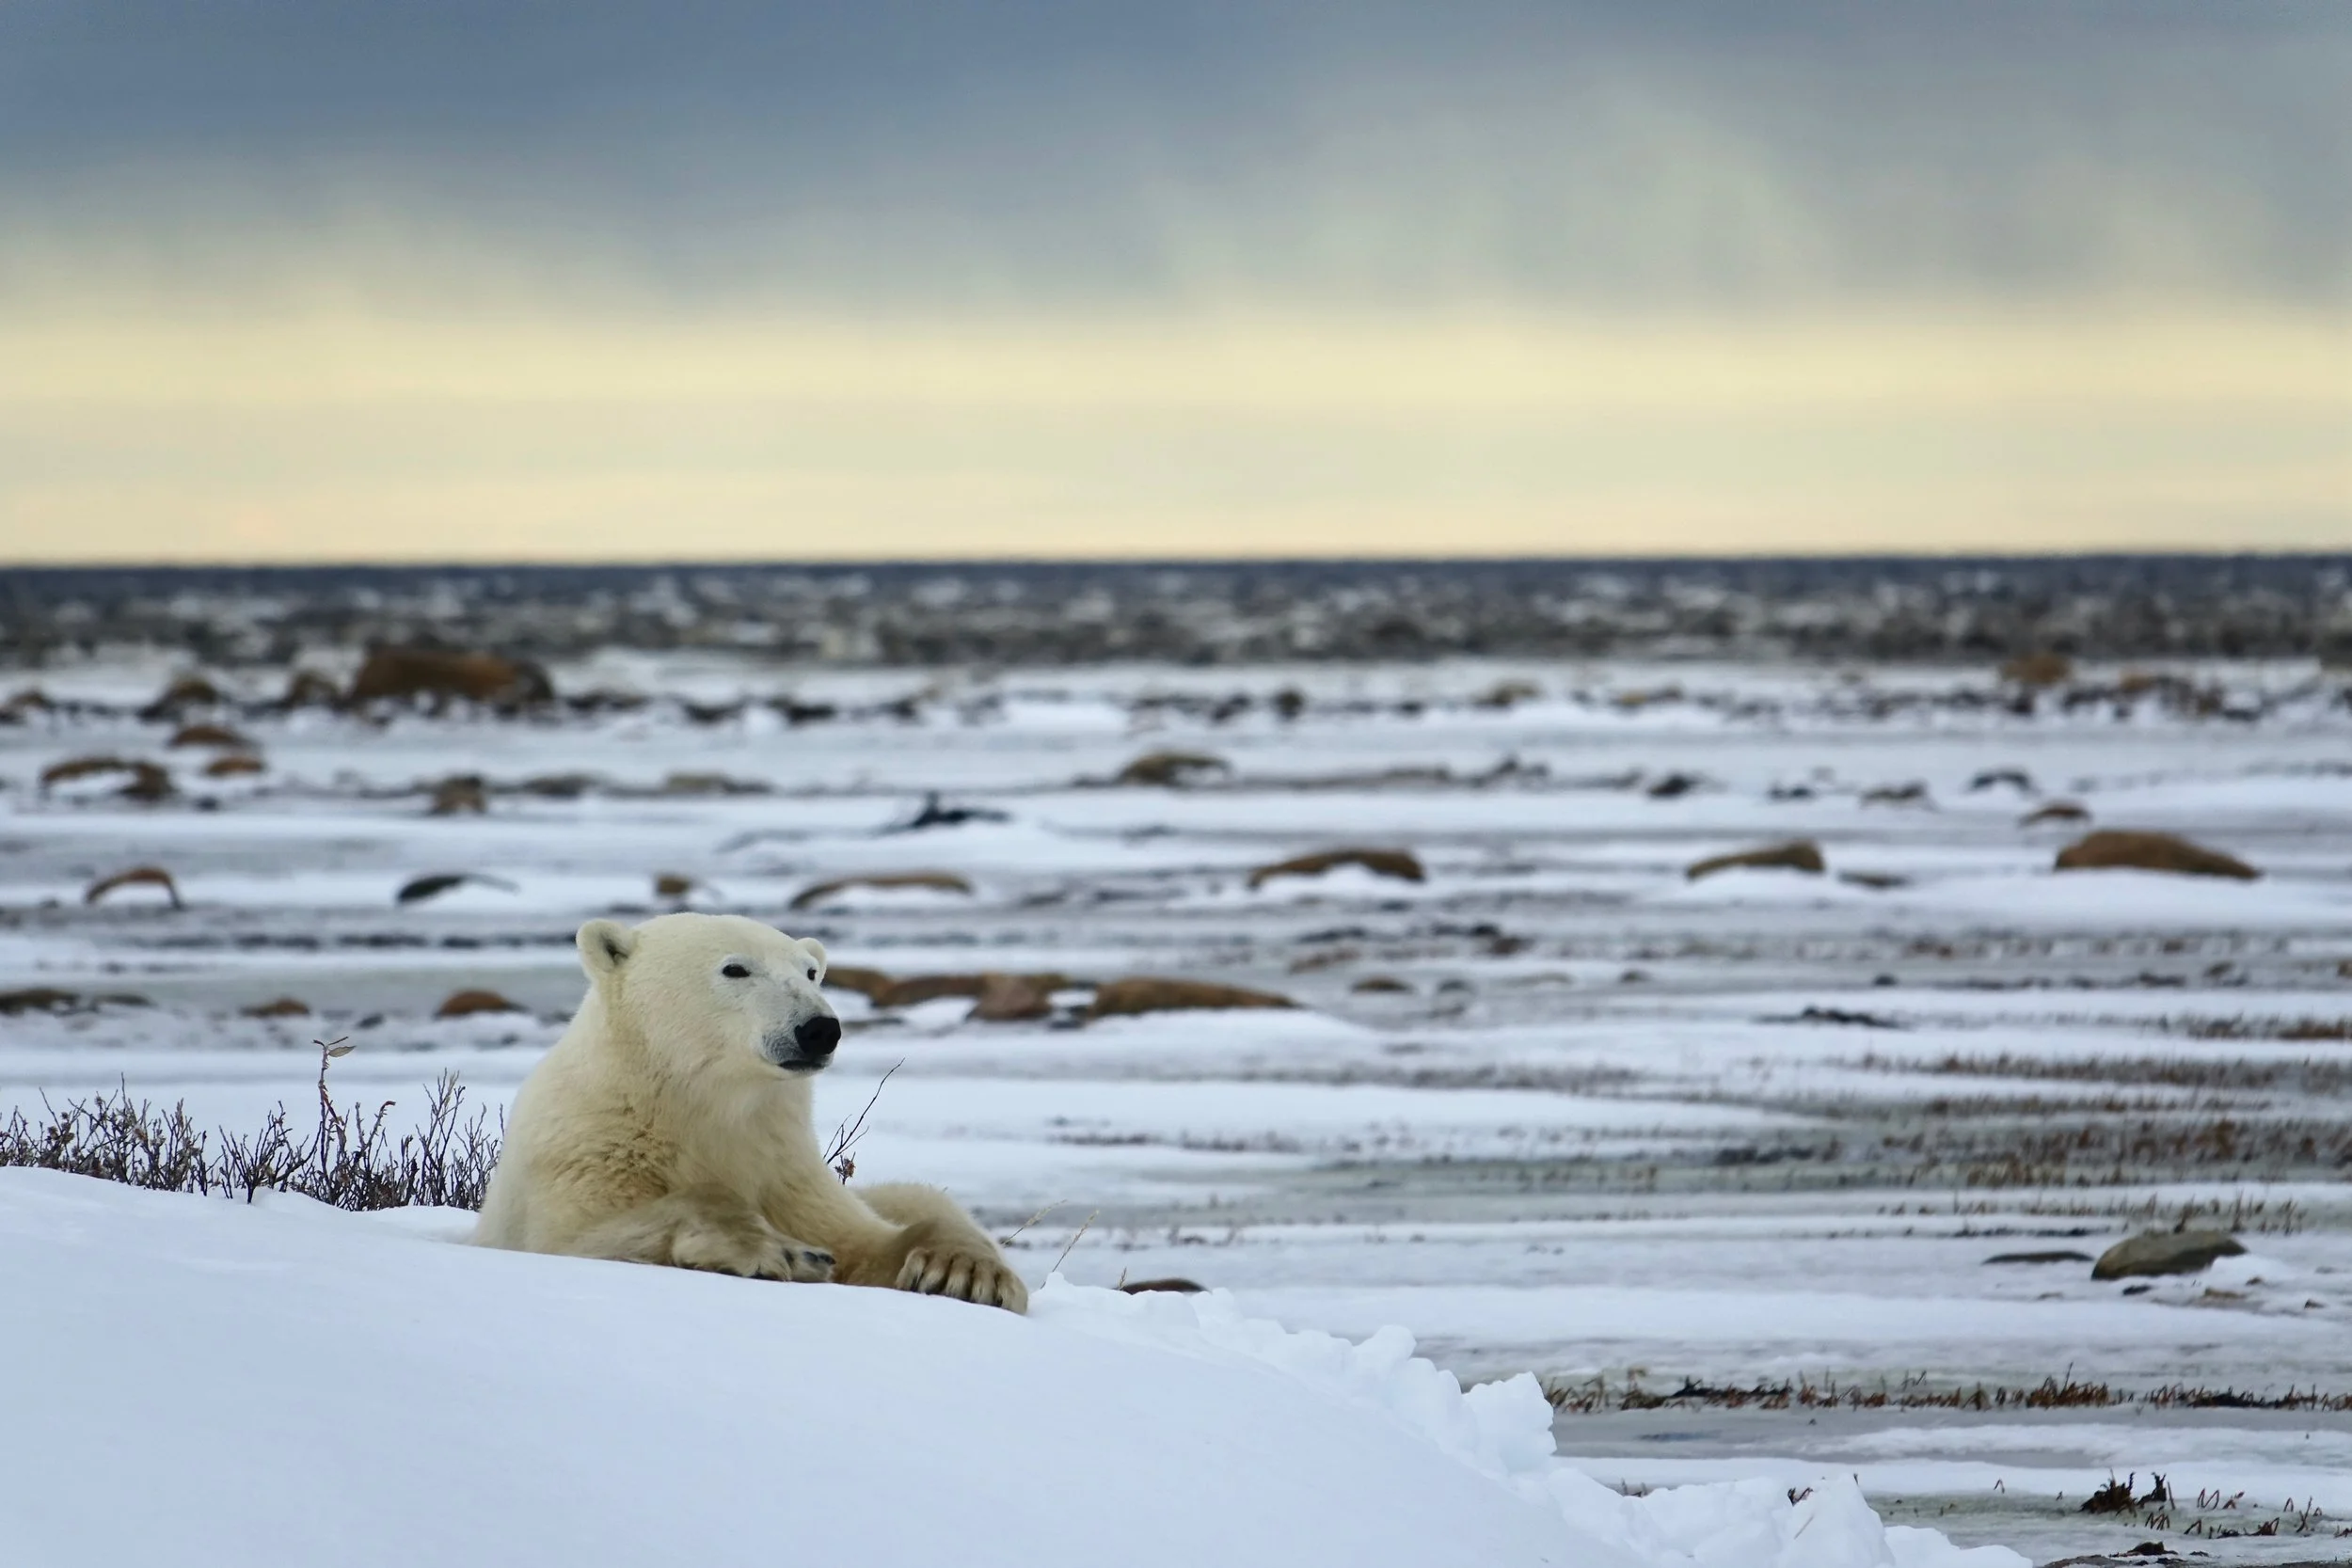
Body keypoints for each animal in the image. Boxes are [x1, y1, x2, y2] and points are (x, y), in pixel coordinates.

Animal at [473, 912, 1027, 1312]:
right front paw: (783, 1251)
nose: (820, 1028)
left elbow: (865, 1243)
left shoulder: (785, 1168)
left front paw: (967, 1271)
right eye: (735, 968)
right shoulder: (586, 1155)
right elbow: (579, 1238)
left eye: (810, 971)